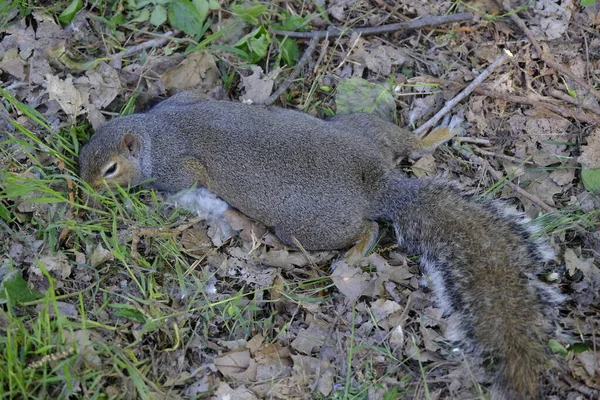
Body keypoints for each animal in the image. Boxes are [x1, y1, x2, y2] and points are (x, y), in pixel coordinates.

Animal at [78, 91, 564, 400]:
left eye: (111, 169)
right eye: (84, 153)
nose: (84, 190)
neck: (157, 130)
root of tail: (382, 185)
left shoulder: (180, 166)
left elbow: (182, 182)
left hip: (306, 228)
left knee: (367, 229)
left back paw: (355, 253)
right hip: (364, 128)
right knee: (407, 143)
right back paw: (435, 137)